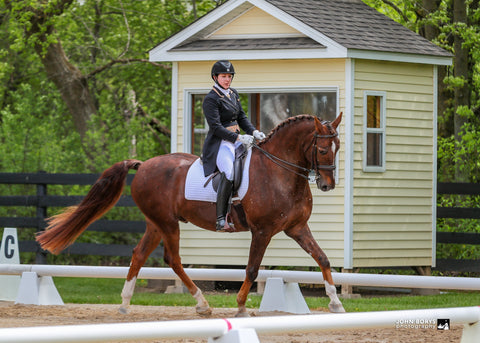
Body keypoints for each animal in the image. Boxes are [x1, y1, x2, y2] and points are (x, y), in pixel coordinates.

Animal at [37, 114, 344, 318]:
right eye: (321, 149)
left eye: (338, 147)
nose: (327, 185)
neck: (279, 172)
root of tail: (143, 165)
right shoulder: (262, 231)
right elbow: (252, 268)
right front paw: (241, 307)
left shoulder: (297, 227)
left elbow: (323, 258)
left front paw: (335, 303)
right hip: (167, 223)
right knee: (172, 259)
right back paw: (202, 303)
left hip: (156, 224)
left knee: (139, 254)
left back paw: (125, 303)